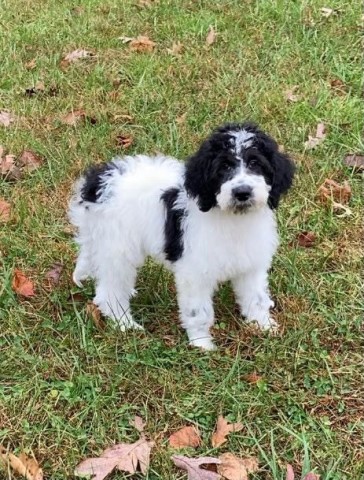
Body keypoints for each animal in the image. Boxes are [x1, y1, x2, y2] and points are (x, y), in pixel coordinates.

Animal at [69, 122, 294, 350]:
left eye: (255, 163)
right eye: (223, 167)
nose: (242, 192)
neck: (231, 217)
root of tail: (96, 182)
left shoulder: (251, 266)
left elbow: (256, 298)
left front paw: (264, 327)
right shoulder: (195, 272)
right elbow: (198, 311)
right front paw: (202, 344)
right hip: (117, 247)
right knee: (110, 291)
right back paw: (125, 323)